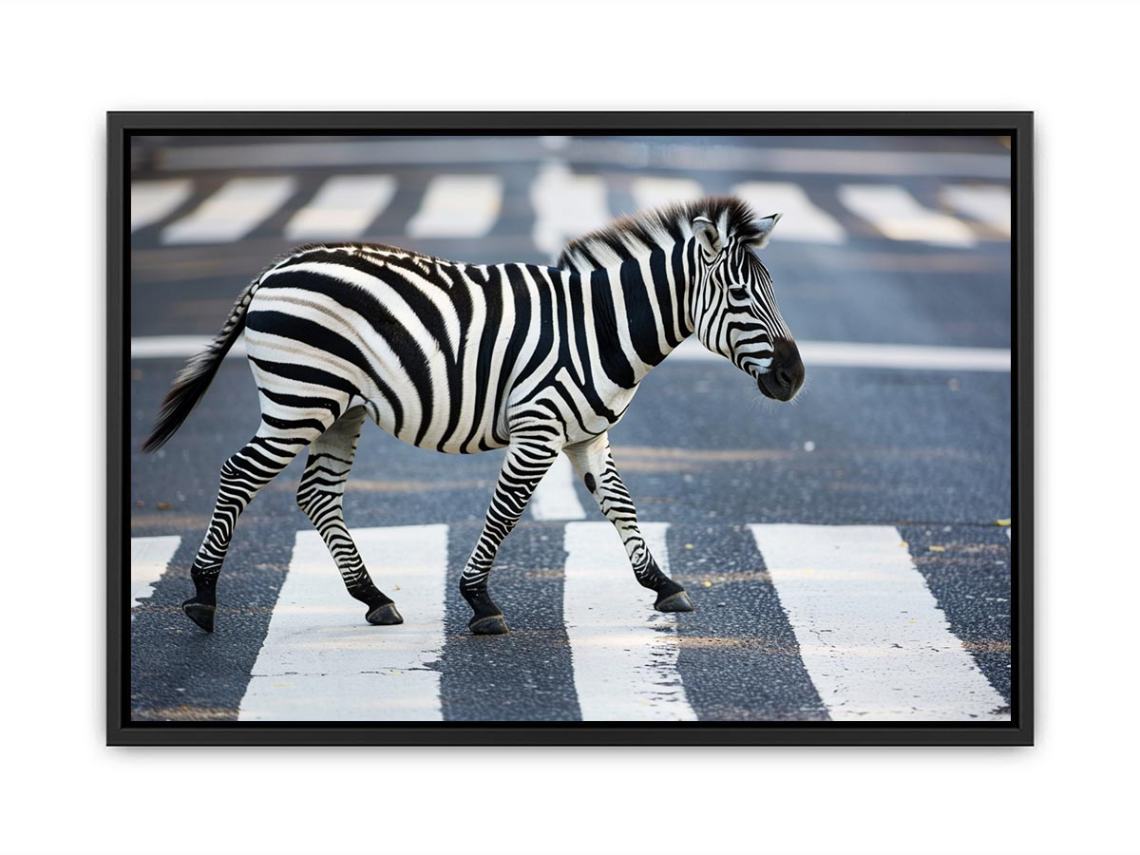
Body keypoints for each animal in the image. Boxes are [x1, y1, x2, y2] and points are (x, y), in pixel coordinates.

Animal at [143, 196, 805, 636]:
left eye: (773, 290)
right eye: (741, 296)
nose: (795, 378)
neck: (600, 328)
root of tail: (277, 268)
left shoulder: (589, 436)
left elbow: (622, 507)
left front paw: (663, 585)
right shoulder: (539, 429)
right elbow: (506, 512)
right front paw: (479, 600)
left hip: (339, 410)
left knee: (317, 494)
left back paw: (373, 597)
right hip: (299, 399)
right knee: (238, 474)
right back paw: (202, 597)